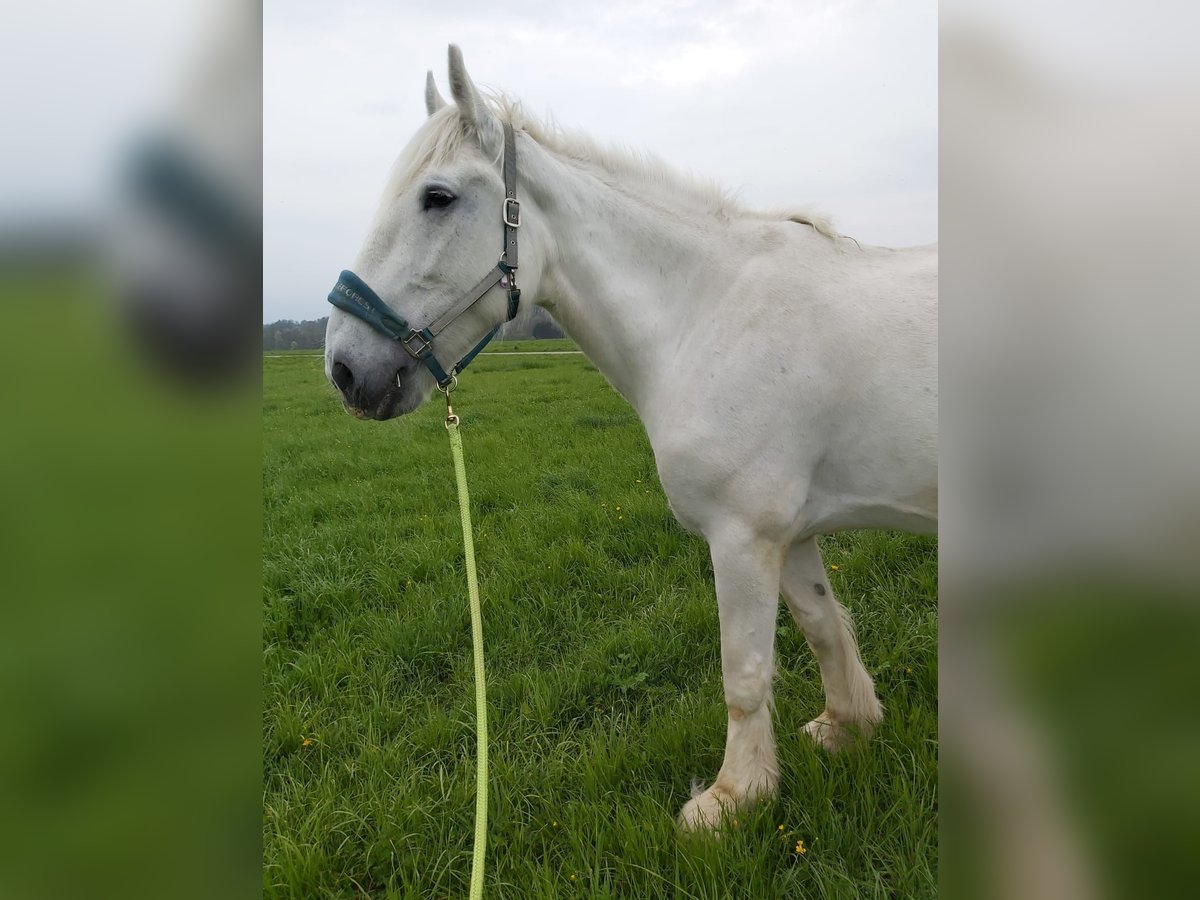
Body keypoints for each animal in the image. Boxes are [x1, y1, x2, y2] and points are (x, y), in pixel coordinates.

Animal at [323, 45, 937, 830]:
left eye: (437, 197)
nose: (345, 370)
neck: (707, 312)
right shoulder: (790, 532)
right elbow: (822, 624)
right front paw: (848, 726)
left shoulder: (742, 536)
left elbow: (743, 671)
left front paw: (731, 801)